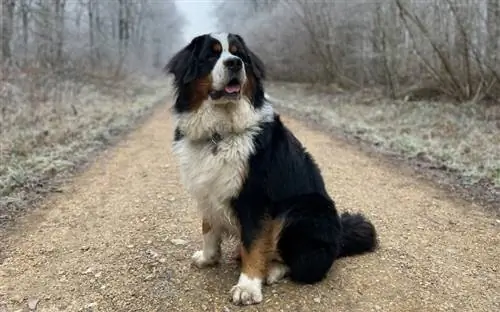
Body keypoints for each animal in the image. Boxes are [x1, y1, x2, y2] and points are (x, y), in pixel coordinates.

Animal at [165, 33, 378, 306]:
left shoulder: (255, 199)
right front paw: (208, 258)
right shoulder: (207, 189)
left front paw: (247, 287)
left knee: (298, 263)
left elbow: (255, 244)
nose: (234, 64)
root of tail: (341, 238)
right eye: (210, 55)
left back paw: (271, 270)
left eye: (240, 55)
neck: (220, 132)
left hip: (301, 211)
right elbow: (209, 228)